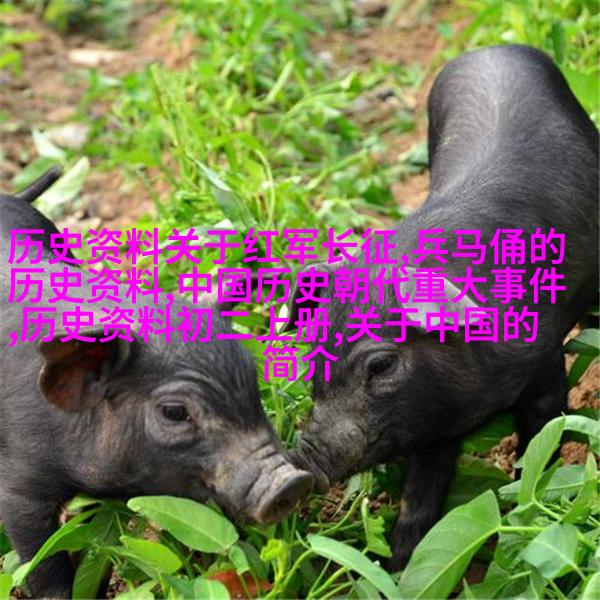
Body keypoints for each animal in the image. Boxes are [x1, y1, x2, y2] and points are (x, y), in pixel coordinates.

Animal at [287, 45, 599, 570]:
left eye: (381, 364)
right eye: (314, 359)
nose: (302, 457)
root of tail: (490, 49)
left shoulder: (544, 363)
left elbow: (540, 440)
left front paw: (524, 507)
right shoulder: (430, 424)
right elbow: (422, 492)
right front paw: (396, 562)